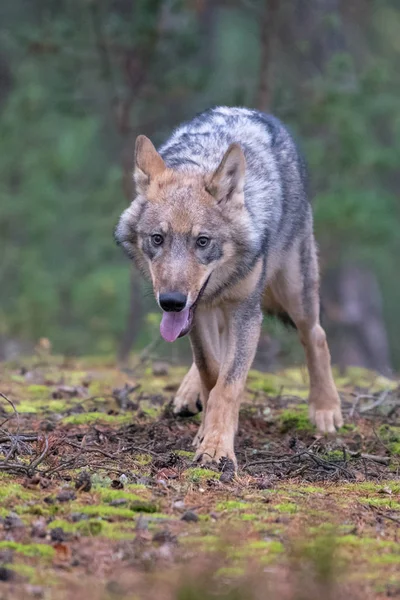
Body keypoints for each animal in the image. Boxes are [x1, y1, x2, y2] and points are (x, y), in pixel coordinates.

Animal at [115, 105, 344, 466]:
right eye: (157, 238)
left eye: (202, 241)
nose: (171, 301)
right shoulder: (197, 313)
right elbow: (211, 371)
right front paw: (205, 433)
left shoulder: (245, 312)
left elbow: (229, 384)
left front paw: (217, 447)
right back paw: (189, 395)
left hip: (295, 293)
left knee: (316, 336)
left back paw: (325, 409)